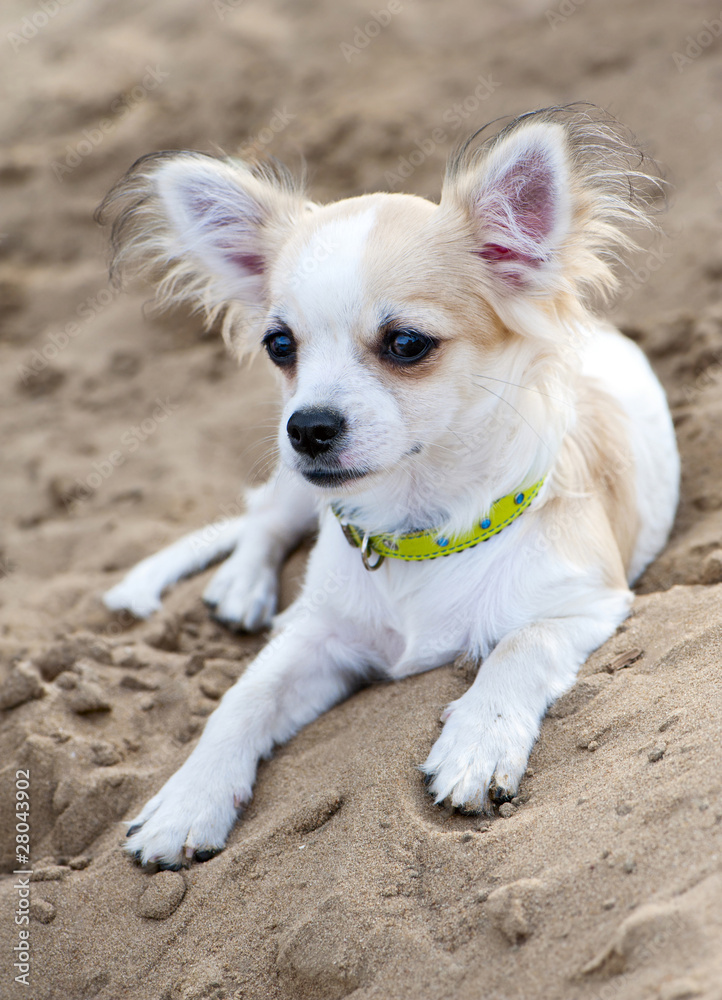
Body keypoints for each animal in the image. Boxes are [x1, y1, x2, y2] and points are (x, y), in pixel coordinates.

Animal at [98, 105, 676, 864]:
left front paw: (478, 743)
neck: (416, 530)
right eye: (279, 346)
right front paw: (190, 798)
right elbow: (243, 698)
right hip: (292, 484)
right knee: (264, 521)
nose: (307, 426)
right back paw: (243, 586)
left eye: (406, 344)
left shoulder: (587, 604)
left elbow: (520, 648)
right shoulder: (316, 636)